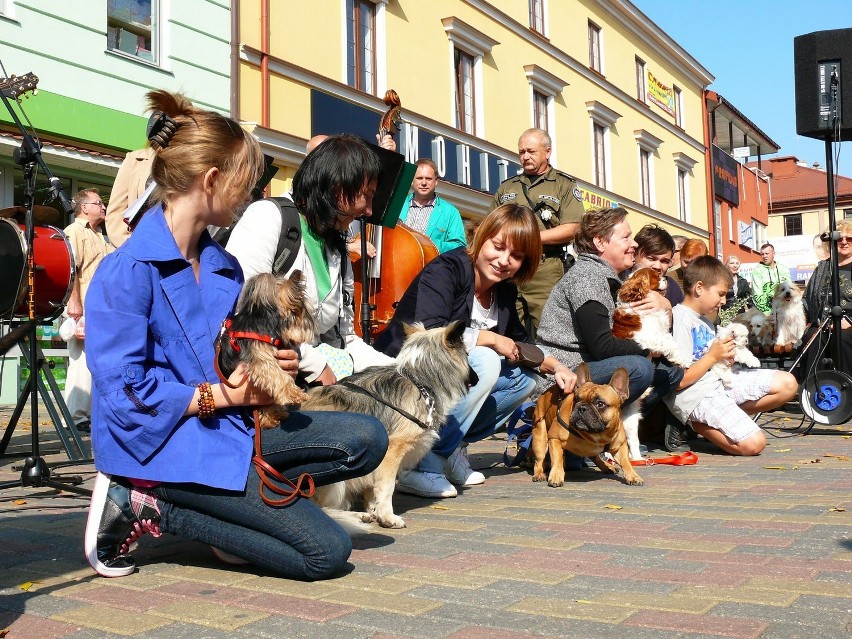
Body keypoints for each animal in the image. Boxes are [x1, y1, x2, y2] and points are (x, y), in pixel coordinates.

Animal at [302, 320, 472, 528]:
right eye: (468, 354)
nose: (475, 378)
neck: (417, 380)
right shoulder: (391, 450)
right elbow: (387, 486)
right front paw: (388, 517)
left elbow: (371, 488)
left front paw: (375, 511)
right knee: (318, 509)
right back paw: (353, 517)